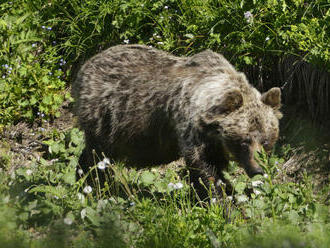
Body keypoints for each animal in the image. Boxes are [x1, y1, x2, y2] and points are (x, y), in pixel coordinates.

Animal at [73, 44, 282, 200]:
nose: (258, 169)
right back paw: (93, 184)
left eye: (266, 141)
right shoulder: (190, 129)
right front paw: (220, 200)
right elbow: (205, 171)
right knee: (96, 156)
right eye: (244, 141)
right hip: (106, 118)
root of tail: (85, 66)